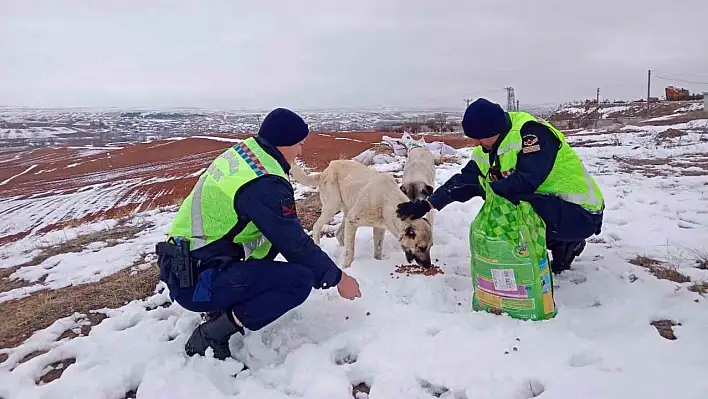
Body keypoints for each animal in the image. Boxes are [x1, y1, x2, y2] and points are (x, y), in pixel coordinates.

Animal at [288, 159, 432, 268]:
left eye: (430, 246)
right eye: (421, 247)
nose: (429, 266)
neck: (386, 201)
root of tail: (326, 170)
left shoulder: (379, 228)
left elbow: (377, 250)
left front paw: (377, 262)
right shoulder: (353, 221)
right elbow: (350, 251)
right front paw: (346, 267)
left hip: (347, 210)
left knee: (339, 233)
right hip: (332, 207)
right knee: (317, 227)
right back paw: (320, 246)